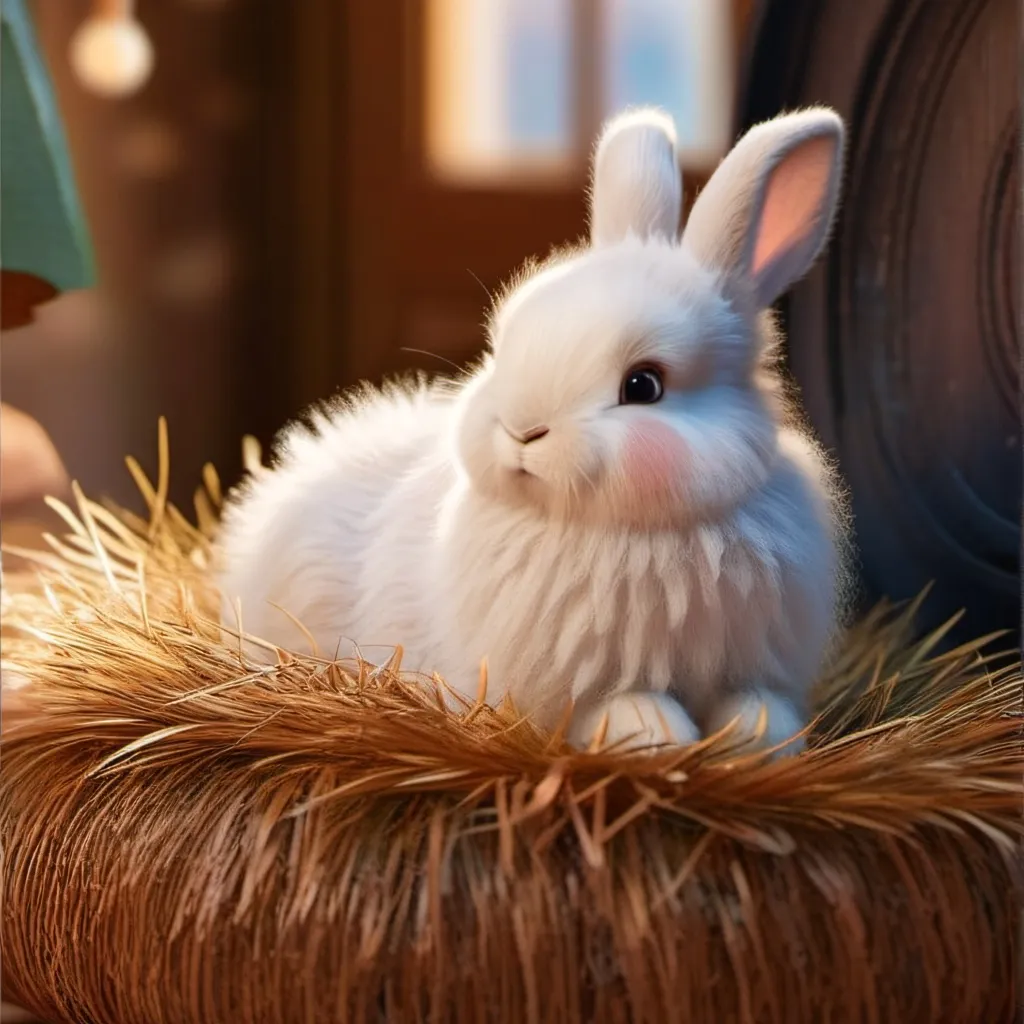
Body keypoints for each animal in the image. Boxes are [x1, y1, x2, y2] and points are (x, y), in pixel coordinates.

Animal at [216, 105, 850, 756]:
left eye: (644, 385)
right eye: (504, 347)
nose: (522, 431)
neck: (631, 531)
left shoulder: (749, 660)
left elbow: (756, 700)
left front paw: (760, 734)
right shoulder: (566, 689)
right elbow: (607, 708)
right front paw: (654, 732)